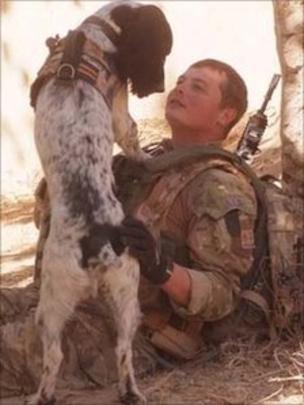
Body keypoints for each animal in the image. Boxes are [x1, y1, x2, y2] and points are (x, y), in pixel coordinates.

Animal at [26, 1, 171, 402]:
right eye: (163, 50)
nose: (160, 87)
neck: (97, 32)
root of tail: (99, 239)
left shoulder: (120, 113)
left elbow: (132, 137)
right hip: (126, 295)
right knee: (123, 350)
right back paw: (130, 392)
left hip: (52, 302)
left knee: (54, 357)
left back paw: (42, 395)